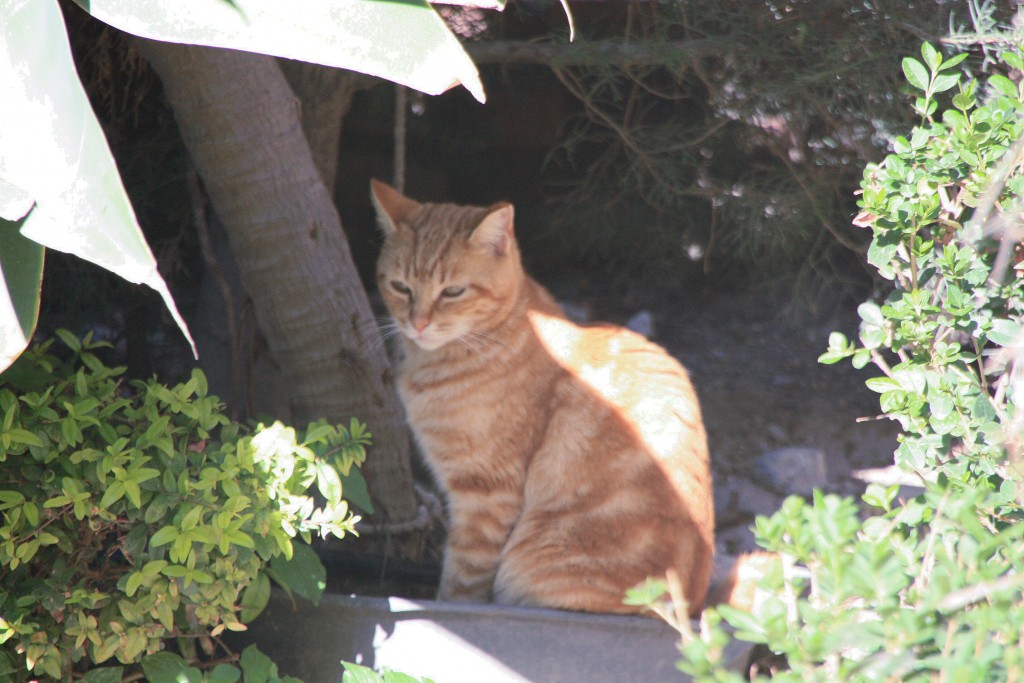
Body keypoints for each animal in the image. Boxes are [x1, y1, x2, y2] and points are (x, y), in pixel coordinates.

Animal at [372, 179, 716, 618]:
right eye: (400, 287)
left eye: (452, 292)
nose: (418, 324)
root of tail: (693, 612)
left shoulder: (486, 493)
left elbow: (462, 578)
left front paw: (446, 604)